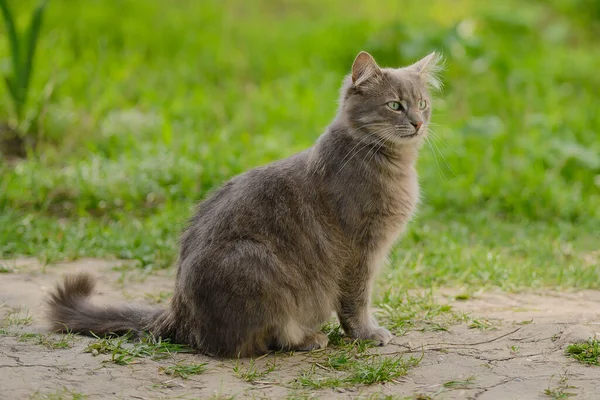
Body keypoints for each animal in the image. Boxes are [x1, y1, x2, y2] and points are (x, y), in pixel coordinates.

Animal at [47, 51, 440, 358]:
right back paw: (308, 338)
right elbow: (357, 302)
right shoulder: (360, 252)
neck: (393, 162)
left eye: (422, 104)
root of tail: (177, 309)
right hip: (257, 262)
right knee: (254, 342)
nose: (418, 123)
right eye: (394, 105)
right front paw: (367, 334)